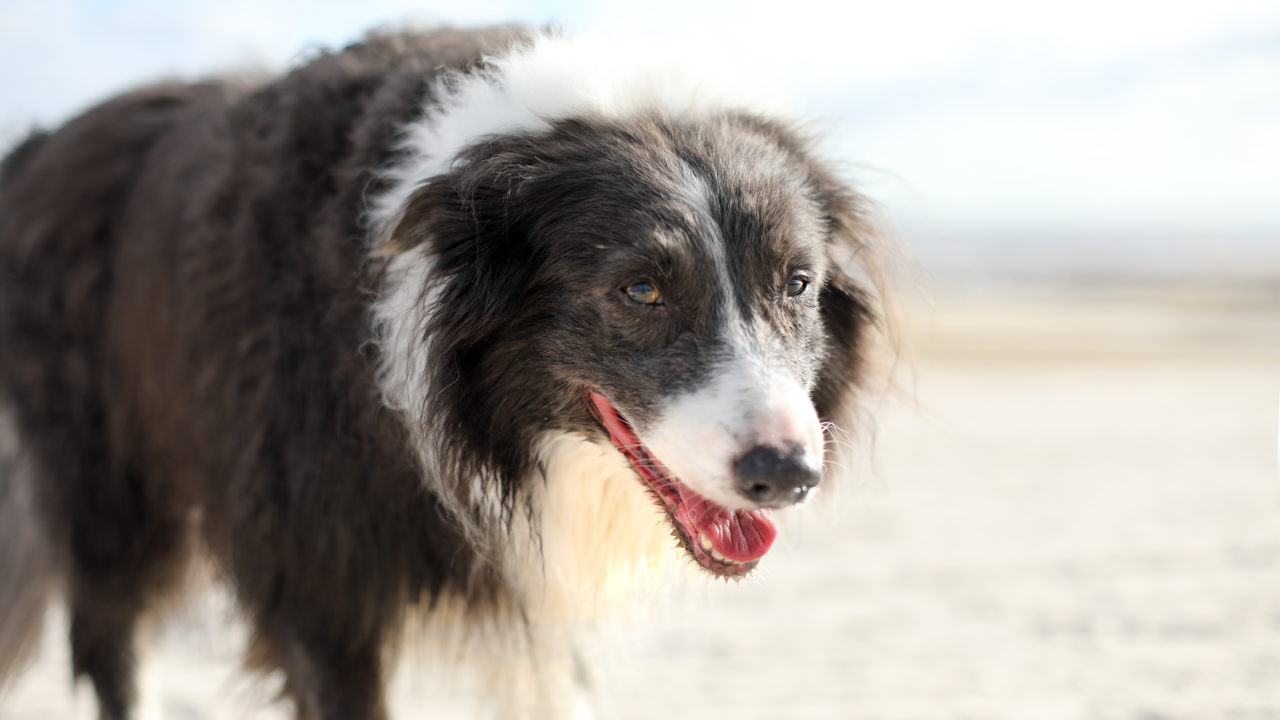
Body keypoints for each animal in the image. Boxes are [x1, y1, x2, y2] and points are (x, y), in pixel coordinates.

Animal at [0, 25, 880, 717]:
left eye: (795, 283)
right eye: (640, 289)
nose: (787, 475)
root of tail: (40, 145)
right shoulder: (316, 573)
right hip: (109, 476)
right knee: (110, 636)